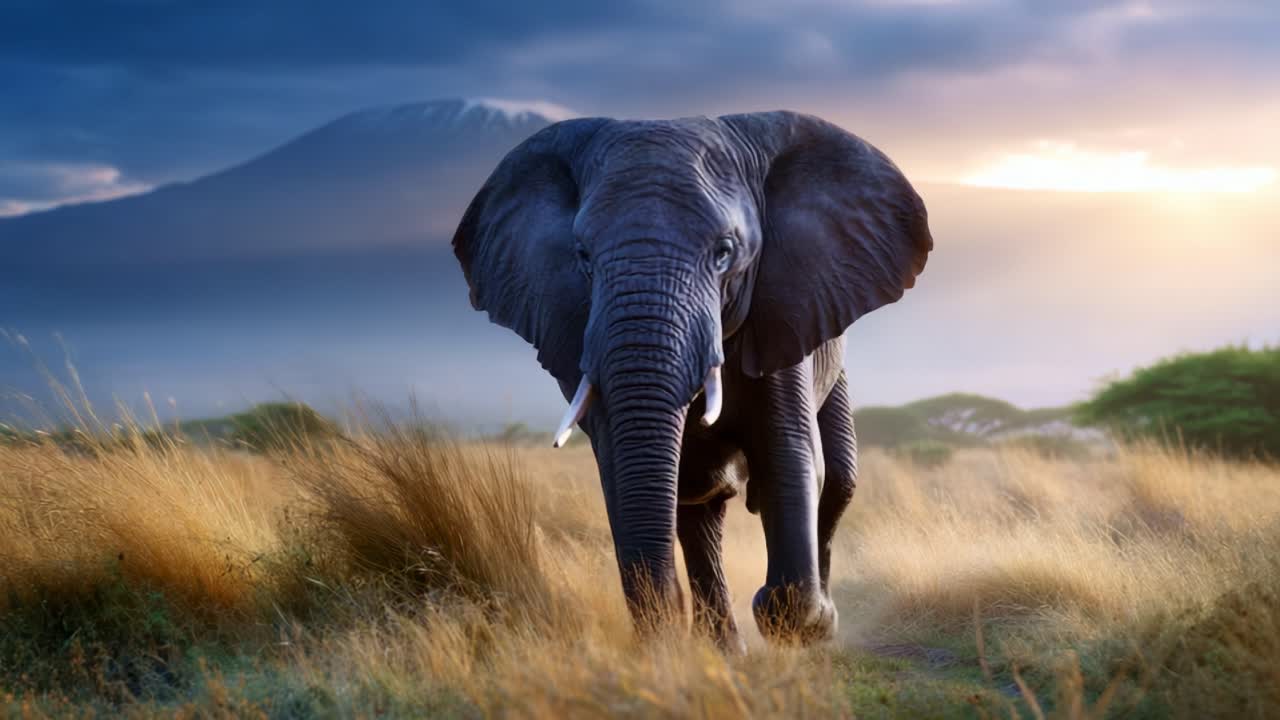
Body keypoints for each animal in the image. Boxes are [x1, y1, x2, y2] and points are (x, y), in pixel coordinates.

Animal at [452, 111, 932, 650]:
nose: (665, 624)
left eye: (724, 252)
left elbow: (788, 454)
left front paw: (793, 620)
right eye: (583, 256)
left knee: (839, 478)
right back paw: (724, 648)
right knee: (698, 502)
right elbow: (624, 468)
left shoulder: (782, 308)